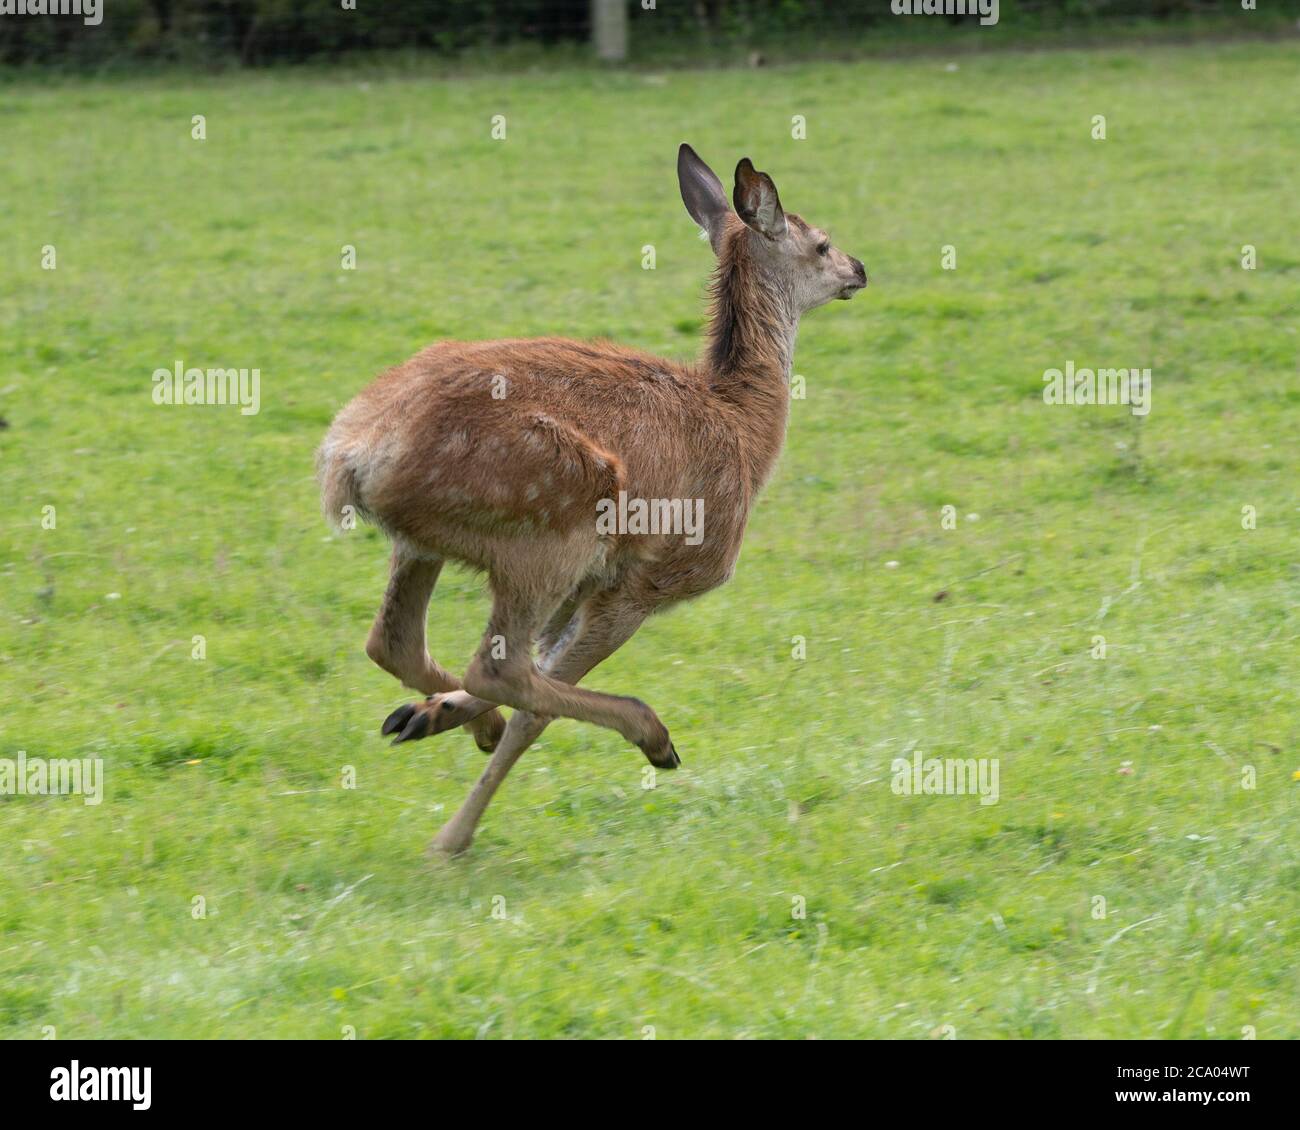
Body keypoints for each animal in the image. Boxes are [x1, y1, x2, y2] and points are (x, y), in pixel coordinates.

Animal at [317, 145, 863, 853]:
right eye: (821, 242)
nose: (859, 269)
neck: (746, 433)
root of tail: (349, 455)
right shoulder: (645, 582)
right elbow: (537, 703)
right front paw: (451, 836)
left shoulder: (586, 587)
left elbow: (537, 669)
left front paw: (425, 718)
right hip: (555, 523)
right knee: (497, 669)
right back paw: (646, 734)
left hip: (432, 545)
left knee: (395, 642)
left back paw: (446, 718)